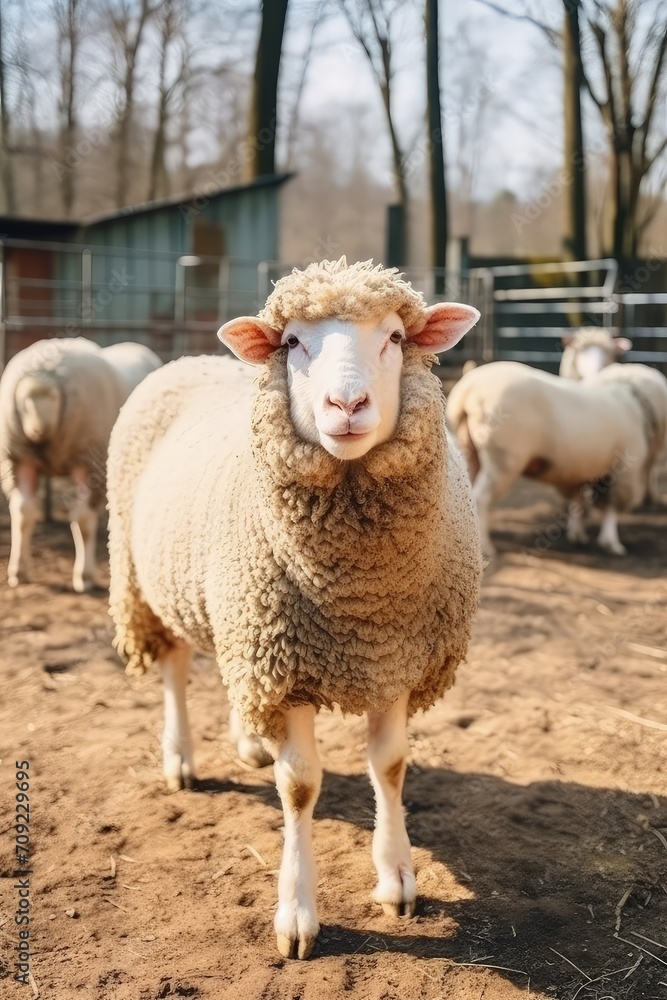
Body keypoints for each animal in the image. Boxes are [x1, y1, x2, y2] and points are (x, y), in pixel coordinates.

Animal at [0, 336, 162, 588]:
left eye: (53, 398)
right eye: (25, 401)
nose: (36, 431)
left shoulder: (89, 462)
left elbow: (83, 520)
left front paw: (84, 576)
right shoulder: (20, 459)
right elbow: (23, 515)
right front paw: (19, 571)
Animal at [108, 254, 486, 956]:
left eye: (396, 337)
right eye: (292, 343)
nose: (347, 404)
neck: (359, 603)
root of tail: (187, 358)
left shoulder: (396, 655)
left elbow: (390, 765)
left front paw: (397, 879)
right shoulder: (286, 671)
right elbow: (301, 785)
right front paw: (297, 914)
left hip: (238, 618)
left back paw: (247, 742)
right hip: (151, 584)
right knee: (175, 669)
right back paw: (180, 759)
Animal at [444, 360, 664, 560]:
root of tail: (469, 390)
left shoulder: (581, 469)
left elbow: (578, 500)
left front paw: (578, 534)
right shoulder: (624, 469)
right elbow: (610, 508)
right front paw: (611, 543)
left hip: (469, 452)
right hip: (503, 460)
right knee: (481, 498)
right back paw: (486, 548)